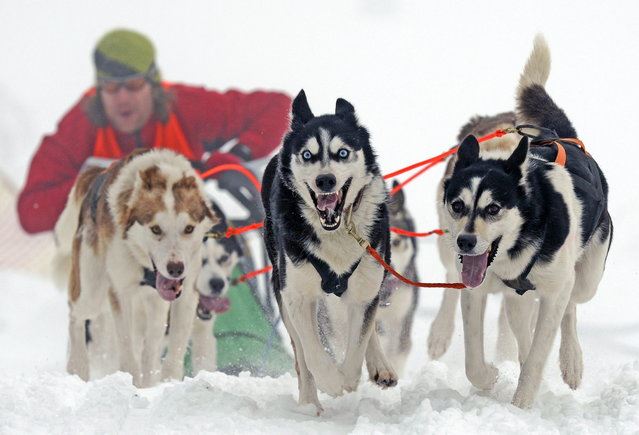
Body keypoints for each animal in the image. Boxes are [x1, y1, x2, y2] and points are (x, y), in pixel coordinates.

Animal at [55, 151, 215, 388]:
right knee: (77, 317)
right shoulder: (120, 292)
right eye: (155, 229)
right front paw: (132, 382)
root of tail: (98, 173)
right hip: (90, 290)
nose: (176, 269)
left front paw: (165, 382)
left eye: (188, 228)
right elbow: (127, 346)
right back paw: (78, 366)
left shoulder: (183, 296)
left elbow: (170, 347)